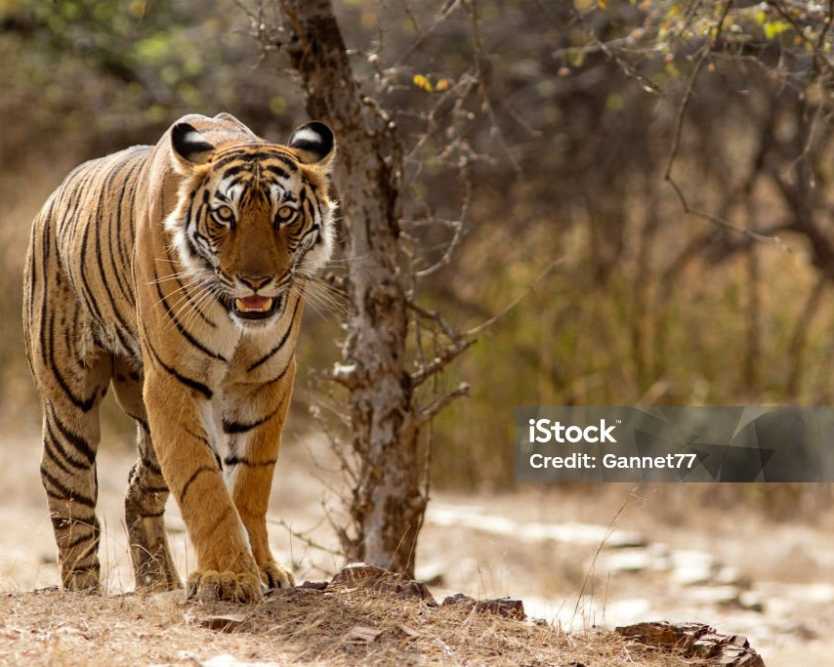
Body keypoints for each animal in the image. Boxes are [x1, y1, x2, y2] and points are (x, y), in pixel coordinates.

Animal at [22, 112, 336, 602]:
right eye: (224, 215)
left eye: (285, 214)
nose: (255, 281)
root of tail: (54, 198)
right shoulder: (174, 382)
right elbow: (202, 482)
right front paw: (227, 577)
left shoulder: (266, 381)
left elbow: (250, 481)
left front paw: (263, 568)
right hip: (69, 395)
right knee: (65, 482)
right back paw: (83, 587)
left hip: (146, 424)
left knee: (138, 490)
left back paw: (158, 582)